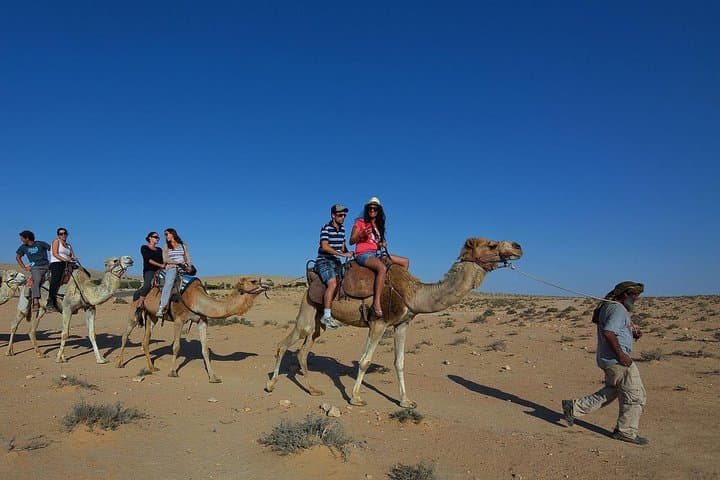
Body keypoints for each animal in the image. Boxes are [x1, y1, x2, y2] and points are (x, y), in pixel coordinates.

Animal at [116, 276, 273, 382]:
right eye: (253, 281)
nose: (270, 281)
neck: (196, 299)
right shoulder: (179, 320)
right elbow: (176, 346)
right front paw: (173, 372)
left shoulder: (202, 321)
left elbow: (205, 350)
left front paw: (213, 377)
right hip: (135, 309)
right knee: (125, 335)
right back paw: (119, 363)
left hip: (152, 316)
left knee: (145, 340)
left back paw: (152, 367)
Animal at [266, 236, 523, 408]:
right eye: (492, 244)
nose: (518, 246)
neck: (413, 293)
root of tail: (310, 277)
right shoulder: (379, 322)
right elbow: (365, 360)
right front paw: (356, 397)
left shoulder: (402, 324)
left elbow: (399, 362)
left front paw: (406, 401)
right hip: (308, 310)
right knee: (284, 343)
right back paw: (270, 385)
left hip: (318, 322)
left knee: (303, 350)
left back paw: (313, 390)